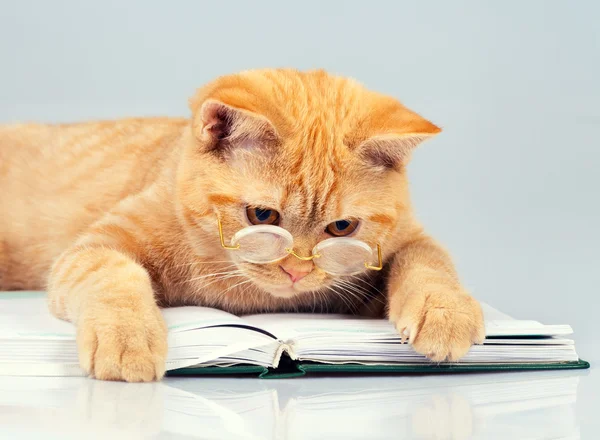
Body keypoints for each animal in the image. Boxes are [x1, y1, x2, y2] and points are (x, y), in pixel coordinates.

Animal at [0, 69, 486, 382]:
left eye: (342, 227)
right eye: (263, 216)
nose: (297, 271)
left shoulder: (399, 247)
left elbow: (428, 257)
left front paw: (446, 310)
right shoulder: (93, 248)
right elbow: (113, 274)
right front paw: (130, 337)